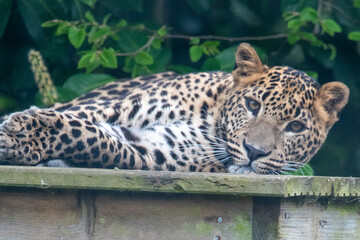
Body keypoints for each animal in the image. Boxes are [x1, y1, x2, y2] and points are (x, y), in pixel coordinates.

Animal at [0, 43, 348, 174]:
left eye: (295, 127)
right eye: (252, 105)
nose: (255, 152)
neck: (209, 117)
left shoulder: (151, 151)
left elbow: (94, 140)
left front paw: (19, 139)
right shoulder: (110, 110)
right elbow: (75, 121)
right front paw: (19, 133)